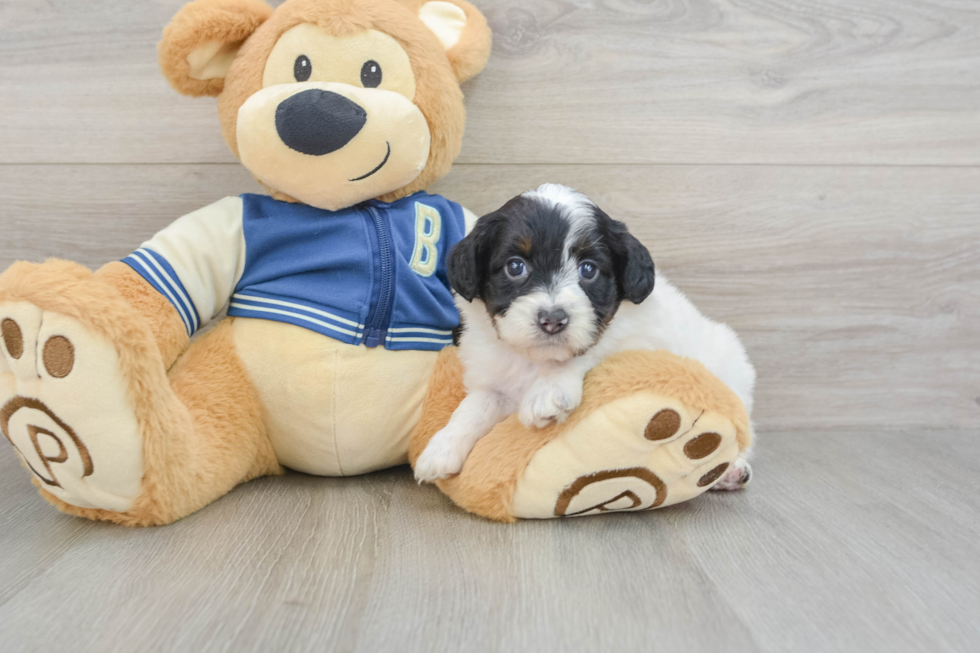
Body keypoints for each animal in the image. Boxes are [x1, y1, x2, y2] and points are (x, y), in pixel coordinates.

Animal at [414, 183, 756, 488]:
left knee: (740, 431)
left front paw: (549, 390)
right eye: (515, 266)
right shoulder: (493, 378)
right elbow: (475, 406)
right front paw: (441, 448)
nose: (553, 321)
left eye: (588, 270)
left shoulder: (639, 344)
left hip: (733, 373)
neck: (535, 361)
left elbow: (592, 351)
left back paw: (731, 470)